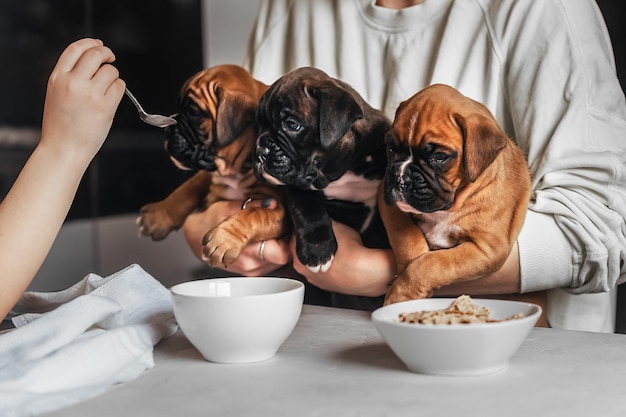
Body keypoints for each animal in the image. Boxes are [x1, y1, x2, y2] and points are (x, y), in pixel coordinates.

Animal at [136, 65, 286, 266]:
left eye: (194, 113)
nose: (166, 130)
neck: (235, 169)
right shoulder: (208, 173)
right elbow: (187, 189)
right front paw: (157, 215)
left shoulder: (279, 211)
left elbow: (255, 214)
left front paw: (224, 239)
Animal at [254, 66, 390, 272]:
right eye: (259, 124)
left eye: (292, 125)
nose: (260, 150)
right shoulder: (296, 187)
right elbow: (307, 210)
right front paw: (317, 249)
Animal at [380, 83, 532, 306]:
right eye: (390, 149)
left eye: (439, 157)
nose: (400, 177)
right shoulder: (387, 203)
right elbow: (406, 236)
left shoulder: (486, 249)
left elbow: (433, 263)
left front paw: (402, 294)